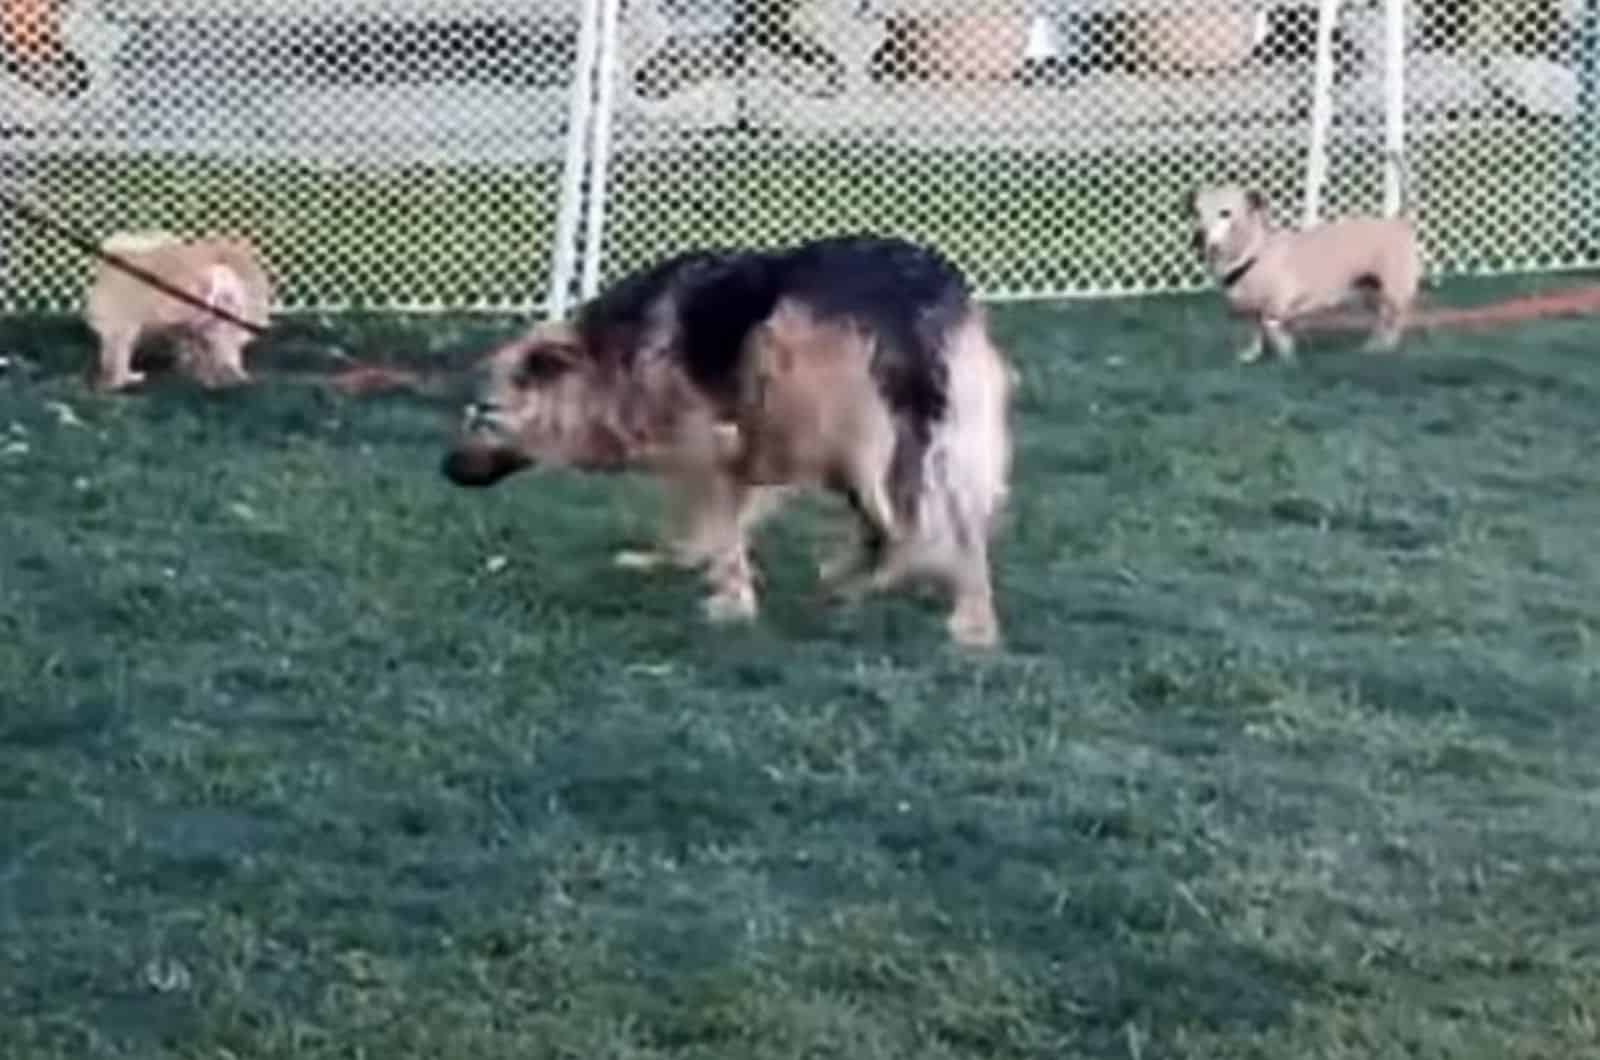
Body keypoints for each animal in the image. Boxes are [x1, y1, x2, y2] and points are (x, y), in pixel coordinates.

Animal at [438, 235, 1011, 646]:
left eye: (483, 414)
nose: (445, 468)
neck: (602, 362)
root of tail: (910, 295)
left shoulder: (702, 439)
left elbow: (716, 519)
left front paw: (731, 600)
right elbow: (712, 520)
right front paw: (677, 560)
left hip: (809, 400)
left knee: (896, 524)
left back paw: (867, 577)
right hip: (950, 434)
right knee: (946, 525)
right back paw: (967, 621)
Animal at [1190, 151, 1427, 363]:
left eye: (1225, 213)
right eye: (1197, 212)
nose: (1198, 236)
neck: (1254, 252)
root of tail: (1399, 221)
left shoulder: (1279, 307)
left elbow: (1275, 333)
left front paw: (1287, 357)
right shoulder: (1251, 313)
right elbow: (1255, 334)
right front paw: (1250, 355)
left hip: (1393, 292)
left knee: (1394, 321)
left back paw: (1384, 350)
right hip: (1368, 292)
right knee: (1382, 322)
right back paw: (1372, 348)